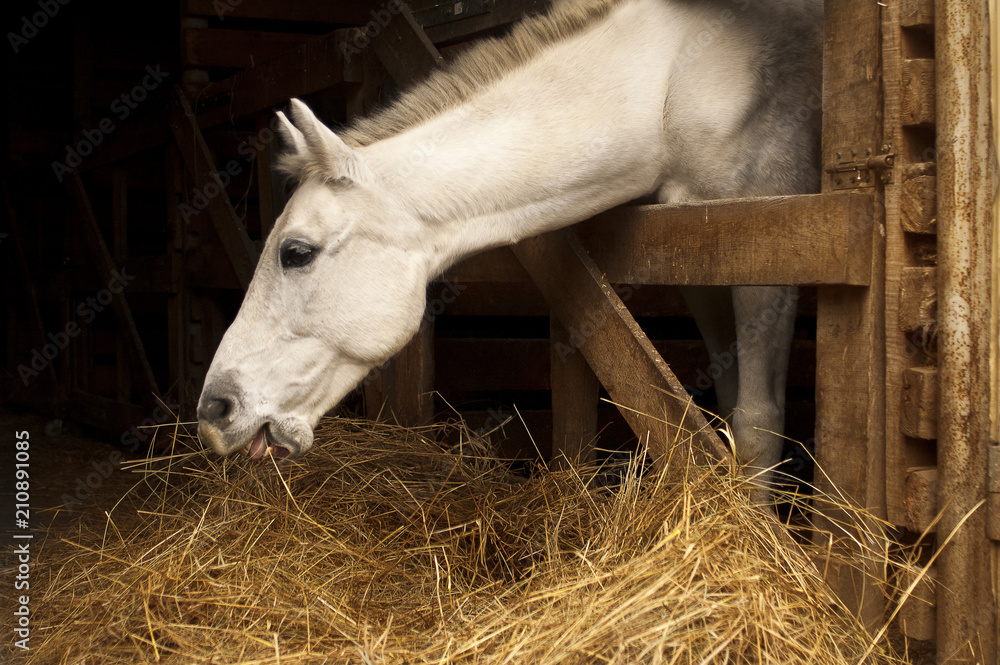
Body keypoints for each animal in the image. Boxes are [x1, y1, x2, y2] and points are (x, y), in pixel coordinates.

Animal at [196, 0, 823, 484]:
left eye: (295, 252)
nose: (213, 410)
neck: (677, 79)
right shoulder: (704, 268)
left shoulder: (766, 254)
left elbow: (757, 425)